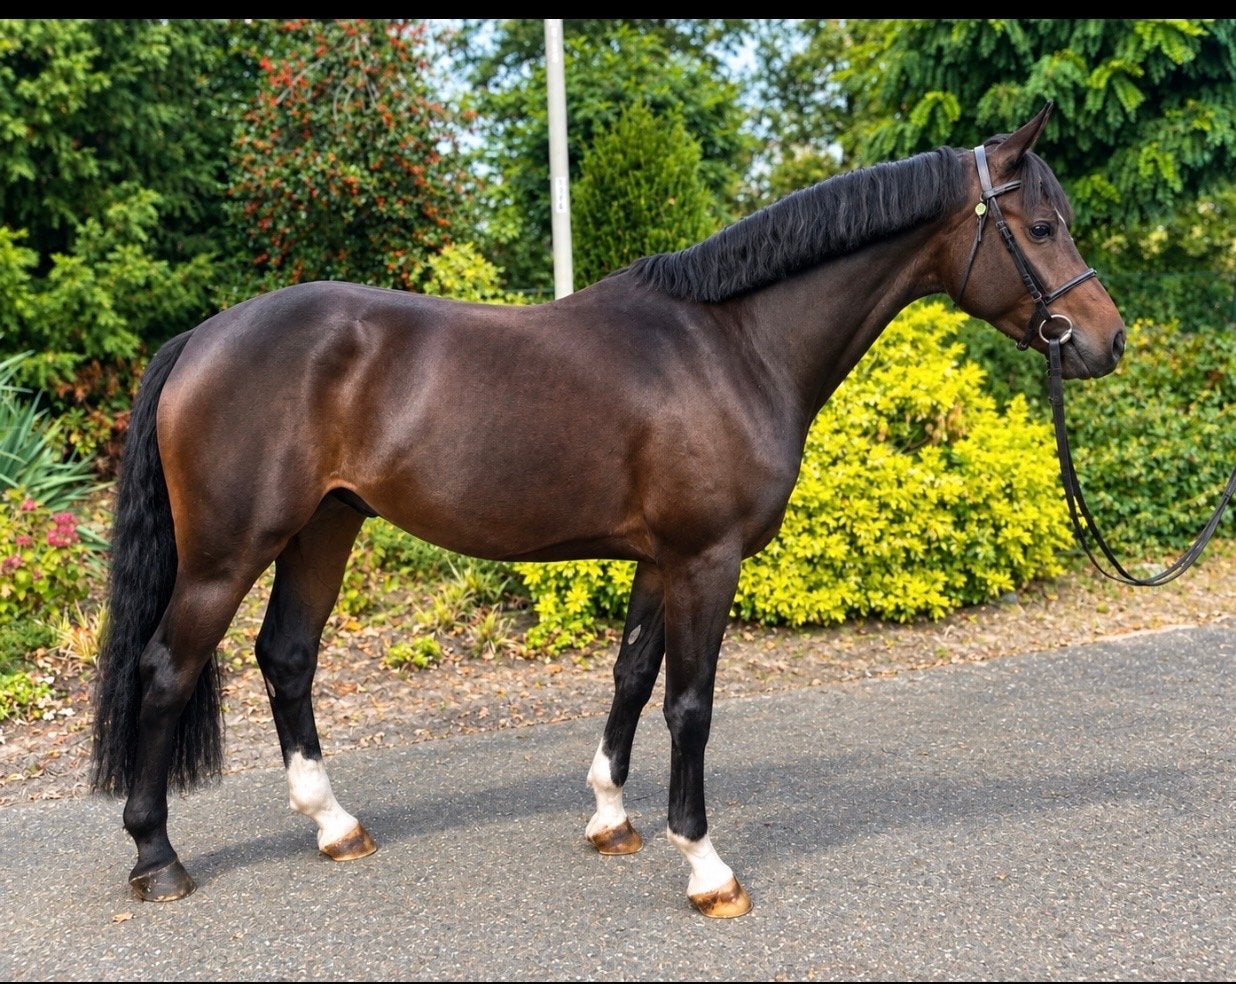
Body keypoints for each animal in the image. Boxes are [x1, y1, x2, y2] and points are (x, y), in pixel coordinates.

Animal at [90, 102, 1126, 918]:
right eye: (1040, 226)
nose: (1107, 341)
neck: (731, 344)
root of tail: (201, 337)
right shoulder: (707, 559)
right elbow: (691, 705)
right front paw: (706, 867)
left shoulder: (660, 558)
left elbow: (630, 678)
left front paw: (610, 818)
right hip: (229, 551)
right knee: (167, 669)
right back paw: (157, 858)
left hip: (325, 526)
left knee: (287, 657)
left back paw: (334, 825)